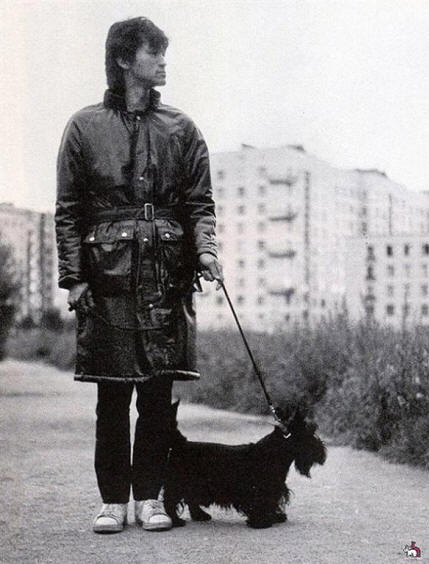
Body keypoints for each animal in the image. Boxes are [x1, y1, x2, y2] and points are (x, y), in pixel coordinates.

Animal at [163, 402, 326, 529]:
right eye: (309, 434)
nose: (322, 451)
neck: (273, 452)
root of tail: (182, 444)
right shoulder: (259, 490)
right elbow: (260, 504)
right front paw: (261, 522)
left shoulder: (275, 489)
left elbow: (272, 503)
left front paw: (275, 517)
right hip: (177, 484)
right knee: (170, 501)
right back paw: (177, 521)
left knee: (191, 500)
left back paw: (200, 516)